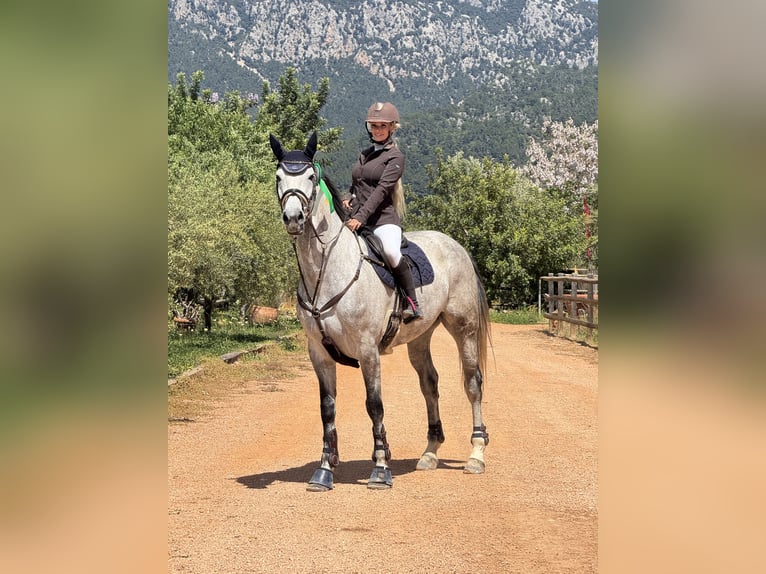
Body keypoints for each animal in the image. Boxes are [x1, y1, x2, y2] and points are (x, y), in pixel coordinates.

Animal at [269, 132, 491, 491]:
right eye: (278, 177)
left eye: (311, 177)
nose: (293, 218)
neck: (328, 269)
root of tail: (455, 244)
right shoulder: (318, 352)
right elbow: (327, 408)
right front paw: (324, 471)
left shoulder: (367, 350)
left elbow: (374, 406)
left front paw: (380, 469)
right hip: (419, 337)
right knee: (429, 384)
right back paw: (429, 453)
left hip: (464, 329)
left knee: (472, 383)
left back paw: (476, 455)